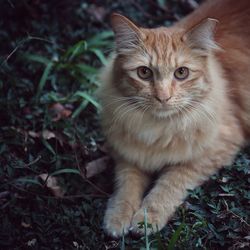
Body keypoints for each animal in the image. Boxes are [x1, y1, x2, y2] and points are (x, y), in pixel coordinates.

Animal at [97, 0, 250, 237]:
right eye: (144, 72)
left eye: (181, 73)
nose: (163, 97)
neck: (158, 130)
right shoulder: (128, 152)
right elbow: (126, 184)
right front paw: (118, 216)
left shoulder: (217, 148)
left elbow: (169, 183)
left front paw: (147, 218)